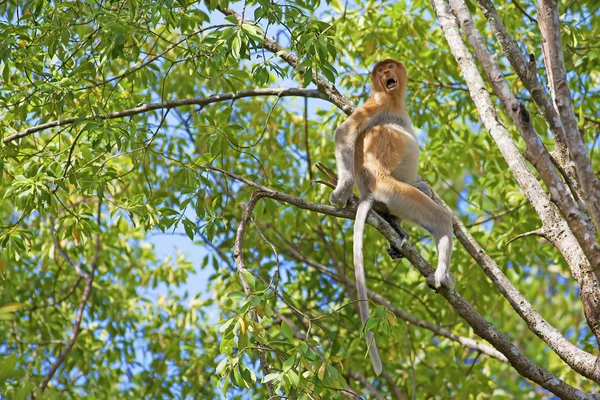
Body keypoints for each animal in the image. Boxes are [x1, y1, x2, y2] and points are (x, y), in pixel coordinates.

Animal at [330, 58, 452, 376]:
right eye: (381, 69)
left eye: (390, 66)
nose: (387, 74)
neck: (395, 103)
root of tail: (369, 192)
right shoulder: (377, 103)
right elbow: (345, 132)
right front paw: (342, 189)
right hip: (393, 189)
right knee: (441, 219)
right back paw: (442, 275)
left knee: (424, 196)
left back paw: (397, 231)